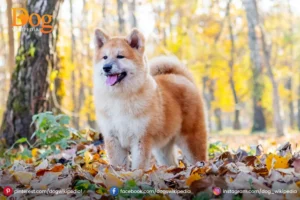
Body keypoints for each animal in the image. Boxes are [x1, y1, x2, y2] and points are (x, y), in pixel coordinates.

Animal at [93, 28, 206, 169]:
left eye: (120, 56)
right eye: (105, 57)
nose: (106, 67)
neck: (120, 98)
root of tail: (181, 77)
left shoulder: (141, 138)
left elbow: (138, 166)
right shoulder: (113, 138)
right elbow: (118, 166)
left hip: (191, 140)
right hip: (163, 148)